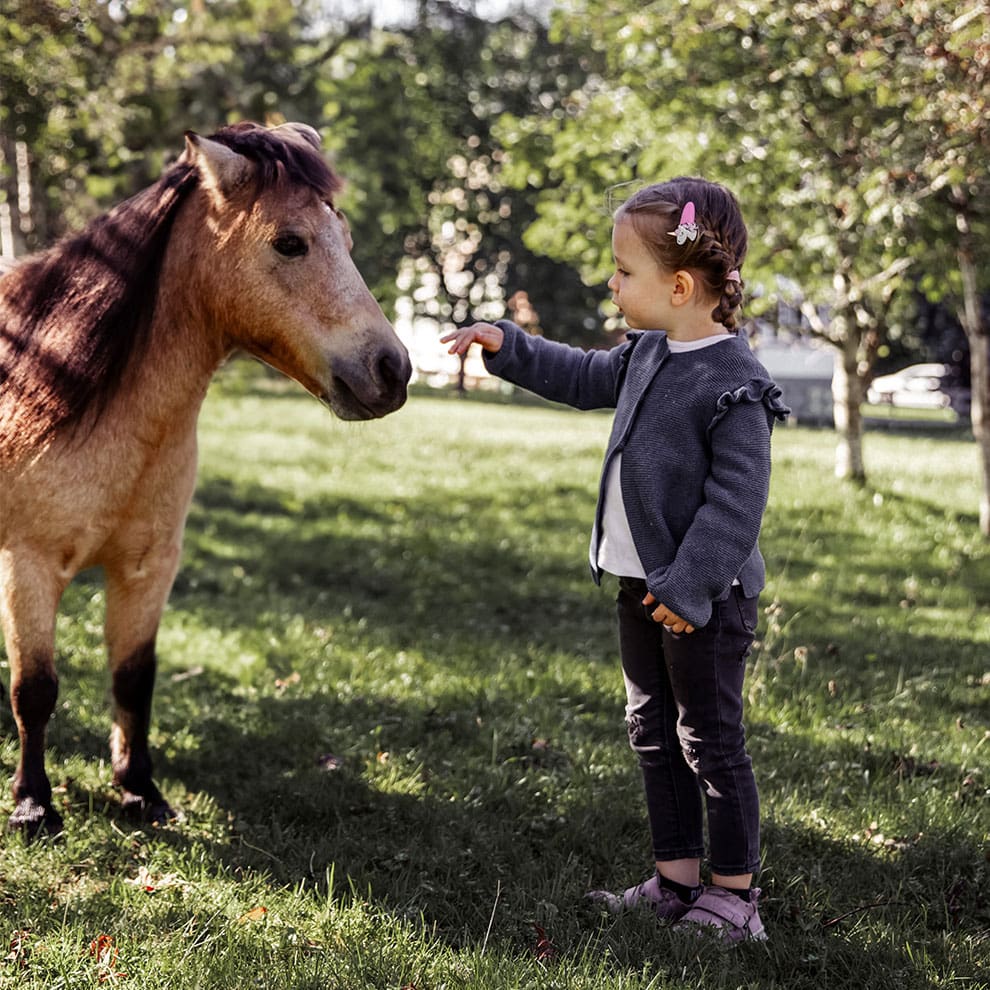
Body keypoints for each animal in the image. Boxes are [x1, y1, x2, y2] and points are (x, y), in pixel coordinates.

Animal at [0, 122, 410, 836]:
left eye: (347, 239)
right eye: (290, 242)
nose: (393, 370)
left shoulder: (149, 568)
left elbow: (134, 678)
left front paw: (139, 790)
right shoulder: (30, 564)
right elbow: (35, 687)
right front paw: (33, 804)